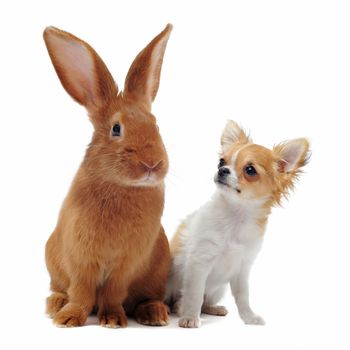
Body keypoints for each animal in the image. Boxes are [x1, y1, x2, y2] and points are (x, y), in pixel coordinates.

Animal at [43, 24, 174, 328]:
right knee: (58, 288)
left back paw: (155, 313)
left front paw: (113, 319)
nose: (152, 164)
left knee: (145, 298)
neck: (122, 187)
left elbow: (114, 292)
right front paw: (68, 319)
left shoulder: (127, 264)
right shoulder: (81, 258)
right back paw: (55, 305)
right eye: (116, 129)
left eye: (155, 126)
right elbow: (81, 292)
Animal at [165, 120, 310, 328]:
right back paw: (177, 308)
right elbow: (194, 294)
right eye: (221, 162)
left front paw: (249, 317)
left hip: (218, 290)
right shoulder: (199, 263)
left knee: (205, 301)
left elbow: (243, 297)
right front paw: (190, 318)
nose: (222, 170)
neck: (236, 216)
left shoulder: (242, 269)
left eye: (250, 170)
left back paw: (212, 309)